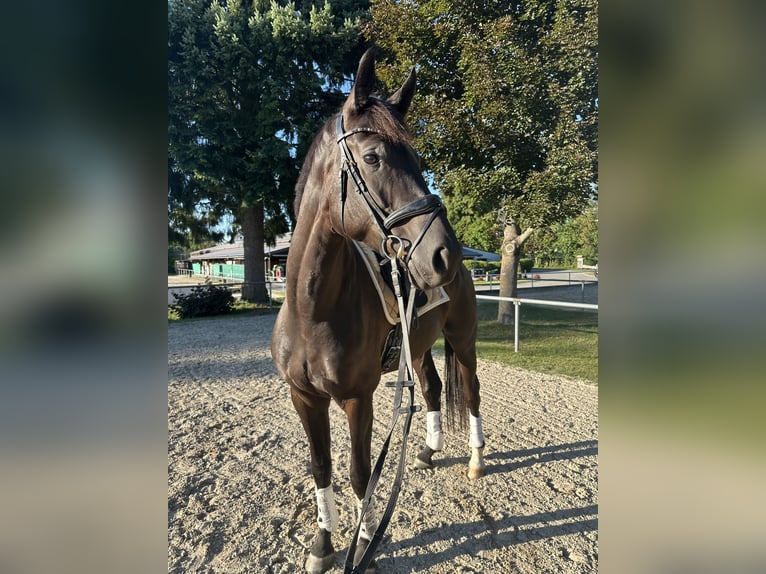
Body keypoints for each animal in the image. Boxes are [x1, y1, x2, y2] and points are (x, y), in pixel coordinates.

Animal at [271, 48, 486, 573]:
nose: (444, 255)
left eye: (420, 161)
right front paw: (323, 544)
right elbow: (322, 468)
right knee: (431, 388)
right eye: (372, 157)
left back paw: (475, 460)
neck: (313, 312)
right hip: (419, 347)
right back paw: (427, 452)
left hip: (463, 341)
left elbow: (359, 472)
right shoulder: (304, 398)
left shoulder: (357, 398)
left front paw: (366, 538)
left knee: (470, 393)